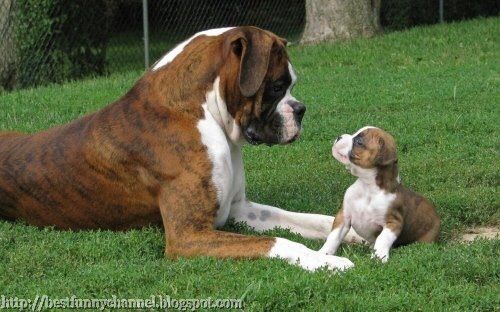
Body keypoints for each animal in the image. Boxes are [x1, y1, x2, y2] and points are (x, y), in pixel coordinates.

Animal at [0, 26, 360, 270]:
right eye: (276, 86)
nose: (300, 110)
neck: (199, 110)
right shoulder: (188, 235)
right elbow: (278, 241)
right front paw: (327, 262)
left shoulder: (239, 209)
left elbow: (307, 220)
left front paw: (351, 233)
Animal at [318, 126, 440, 260]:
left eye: (359, 142)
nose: (339, 136)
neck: (367, 187)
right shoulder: (344, 217)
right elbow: (334, 237)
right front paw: (323, 253)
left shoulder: (393, 222)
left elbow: (382, 239)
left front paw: (378, 257)